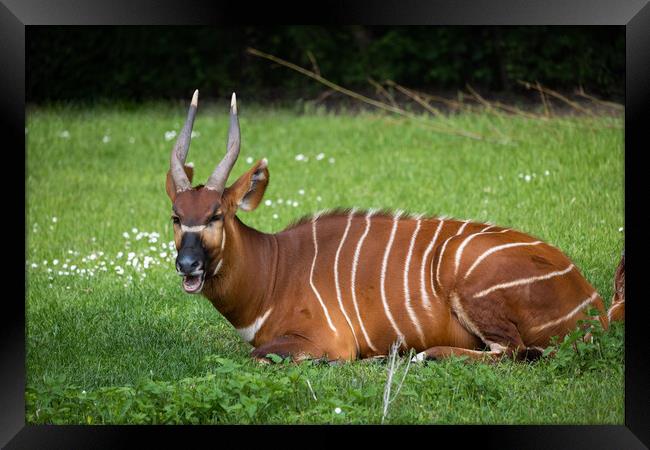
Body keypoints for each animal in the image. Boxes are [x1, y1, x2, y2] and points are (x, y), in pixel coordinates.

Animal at [166, 90, 624, 362]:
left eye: (216, 215)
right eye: (176, 216)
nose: (187, 264)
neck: (273, 272)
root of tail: (594, 307)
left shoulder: (327, 341)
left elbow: (259, 356)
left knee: (513, 352)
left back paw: (424, 356)